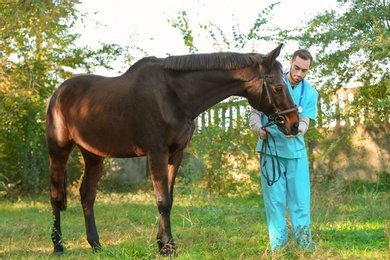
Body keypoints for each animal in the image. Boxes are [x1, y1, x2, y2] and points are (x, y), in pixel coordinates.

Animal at [47, 44, 300, 256]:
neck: (174, 96)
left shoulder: (175, 155)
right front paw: (168, 247)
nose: (294, 124)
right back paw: (58, 246)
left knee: (87, 195)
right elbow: (162, 201)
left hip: (93, 155)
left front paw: (163, 244)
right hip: (58, 150)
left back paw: (96, 244)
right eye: (278, 87)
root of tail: (57, 93)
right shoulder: (157, 153)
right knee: (56, 195)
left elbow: (169, 199)